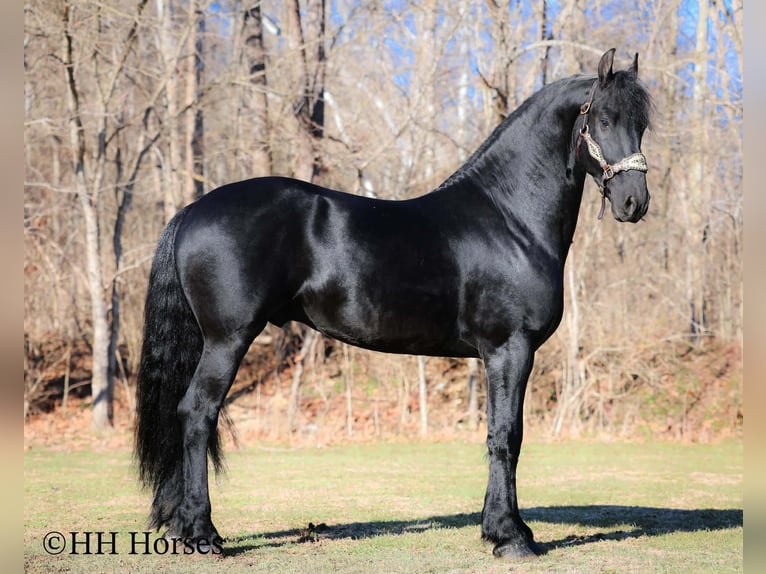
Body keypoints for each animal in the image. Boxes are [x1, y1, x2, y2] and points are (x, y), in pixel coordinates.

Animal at [135, 48, 652, 558]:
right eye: (604, 119)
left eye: (642, 124)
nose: (635, 203)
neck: (509, 218)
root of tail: (191, 210)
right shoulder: (511, 348)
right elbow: (507, 436)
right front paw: (512, 536)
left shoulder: (499, 355)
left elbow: (494, 433)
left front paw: (494, 528)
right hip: (227, 339)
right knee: (197, 413)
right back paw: (202, 533)